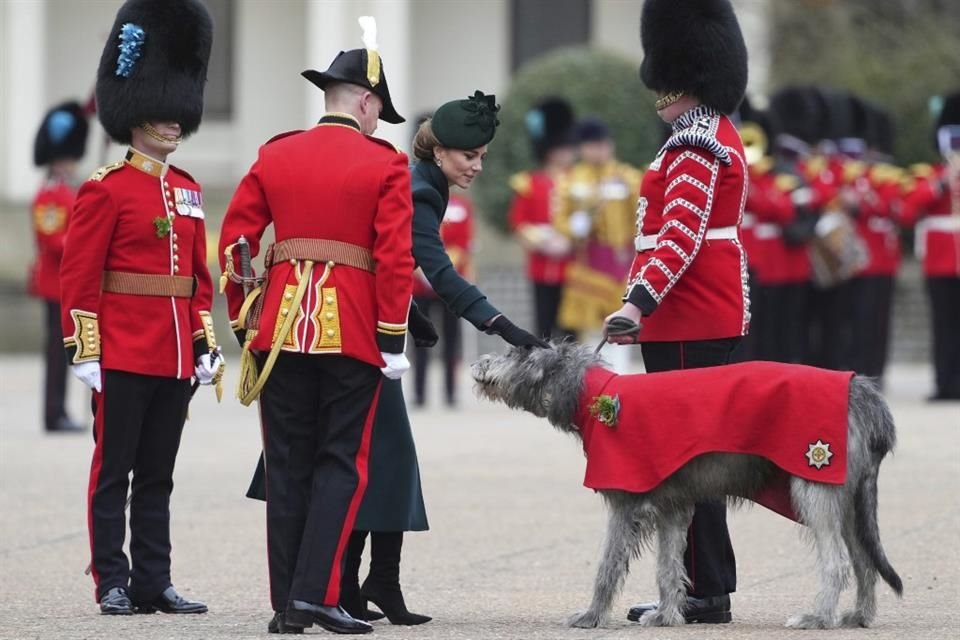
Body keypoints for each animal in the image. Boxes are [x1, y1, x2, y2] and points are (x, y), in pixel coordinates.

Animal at [468, 342, 904, 628]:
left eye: (514, 354)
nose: (478, 363)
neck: (598, 396)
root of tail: (861, 390)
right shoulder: (673, 507)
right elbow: (669, 565)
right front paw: (666, 615)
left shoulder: (626, 501)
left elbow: (608, 564)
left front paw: (591, 616)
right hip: (849, 496)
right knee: (863, 558)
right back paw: (858, 616)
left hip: (815, 483)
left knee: (837, 561)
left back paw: (818, 617)